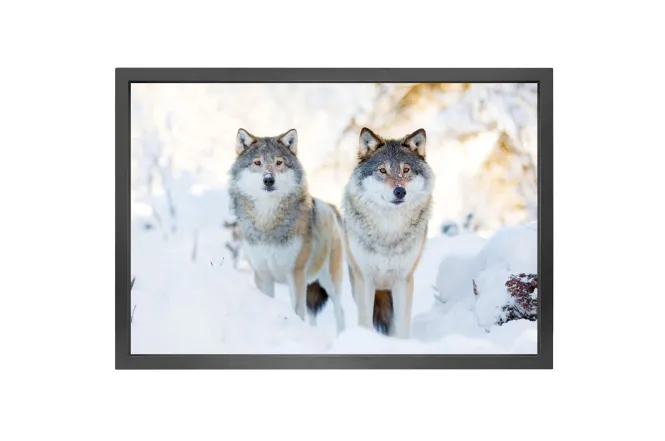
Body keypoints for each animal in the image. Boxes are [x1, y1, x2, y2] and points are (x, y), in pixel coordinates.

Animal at [228, 128, 345, 333]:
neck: (268, 223)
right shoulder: (263, 275)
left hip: (330, 282)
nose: (268, 179)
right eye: (257, 162)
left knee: (340, 312)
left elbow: (297, 311)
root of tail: (331, 207)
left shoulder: (296, 273)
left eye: (279, 162)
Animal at [342, 127, 434, 338]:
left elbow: (401, 326)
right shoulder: (365, 279)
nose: (400, 191)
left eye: (406, 170)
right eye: (382, 170)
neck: (389, 229)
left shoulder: (403, 280)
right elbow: (366, 322)